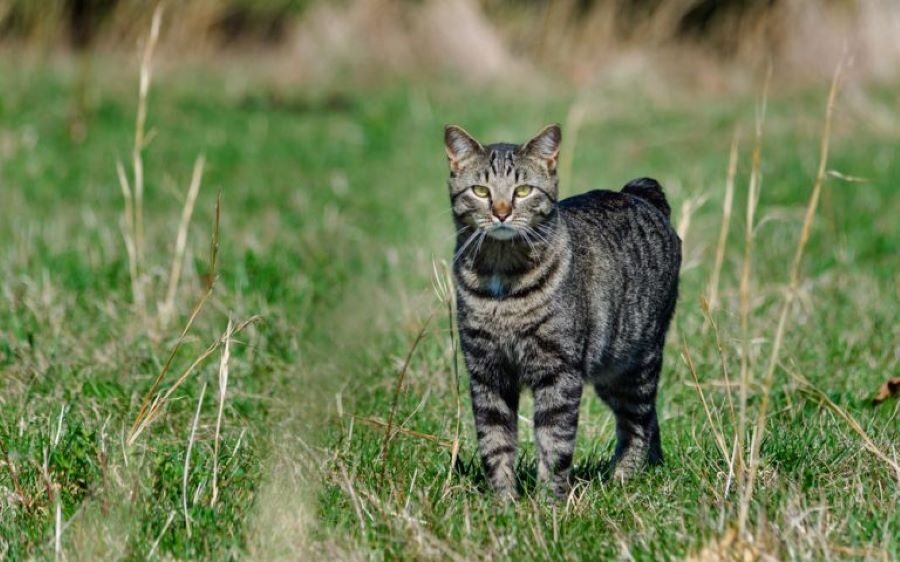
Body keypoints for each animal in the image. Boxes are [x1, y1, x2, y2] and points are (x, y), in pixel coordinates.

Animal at [442, 123, 684, 498]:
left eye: (523, 190)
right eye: (481, 191)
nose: (501, 212)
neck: (502, 280)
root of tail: (638, 193)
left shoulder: (558, 371)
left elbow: (554, 443)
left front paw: (549, 503)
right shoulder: (486, 372)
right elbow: (494, 442)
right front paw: (503, 502)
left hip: (635, 364)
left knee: (638, 423)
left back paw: (623, 478)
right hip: (610, 372)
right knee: (650, 419)